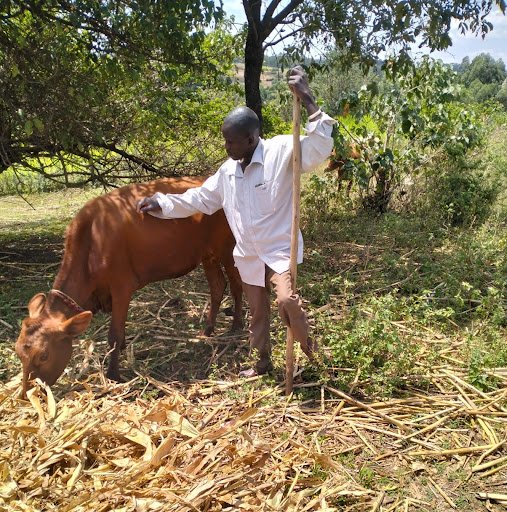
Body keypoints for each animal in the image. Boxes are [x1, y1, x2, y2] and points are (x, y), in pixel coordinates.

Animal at [15, 178, 244, 398]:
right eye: (17, 351)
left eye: (44, 355)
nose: (27, 394)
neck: (92, 240)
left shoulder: (121, 287)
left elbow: (114, 335)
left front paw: (113, 375)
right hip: (208, 254)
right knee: (217, 285)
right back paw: (208, 330)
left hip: (228, 248)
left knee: (236, 284)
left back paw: (236, 327)